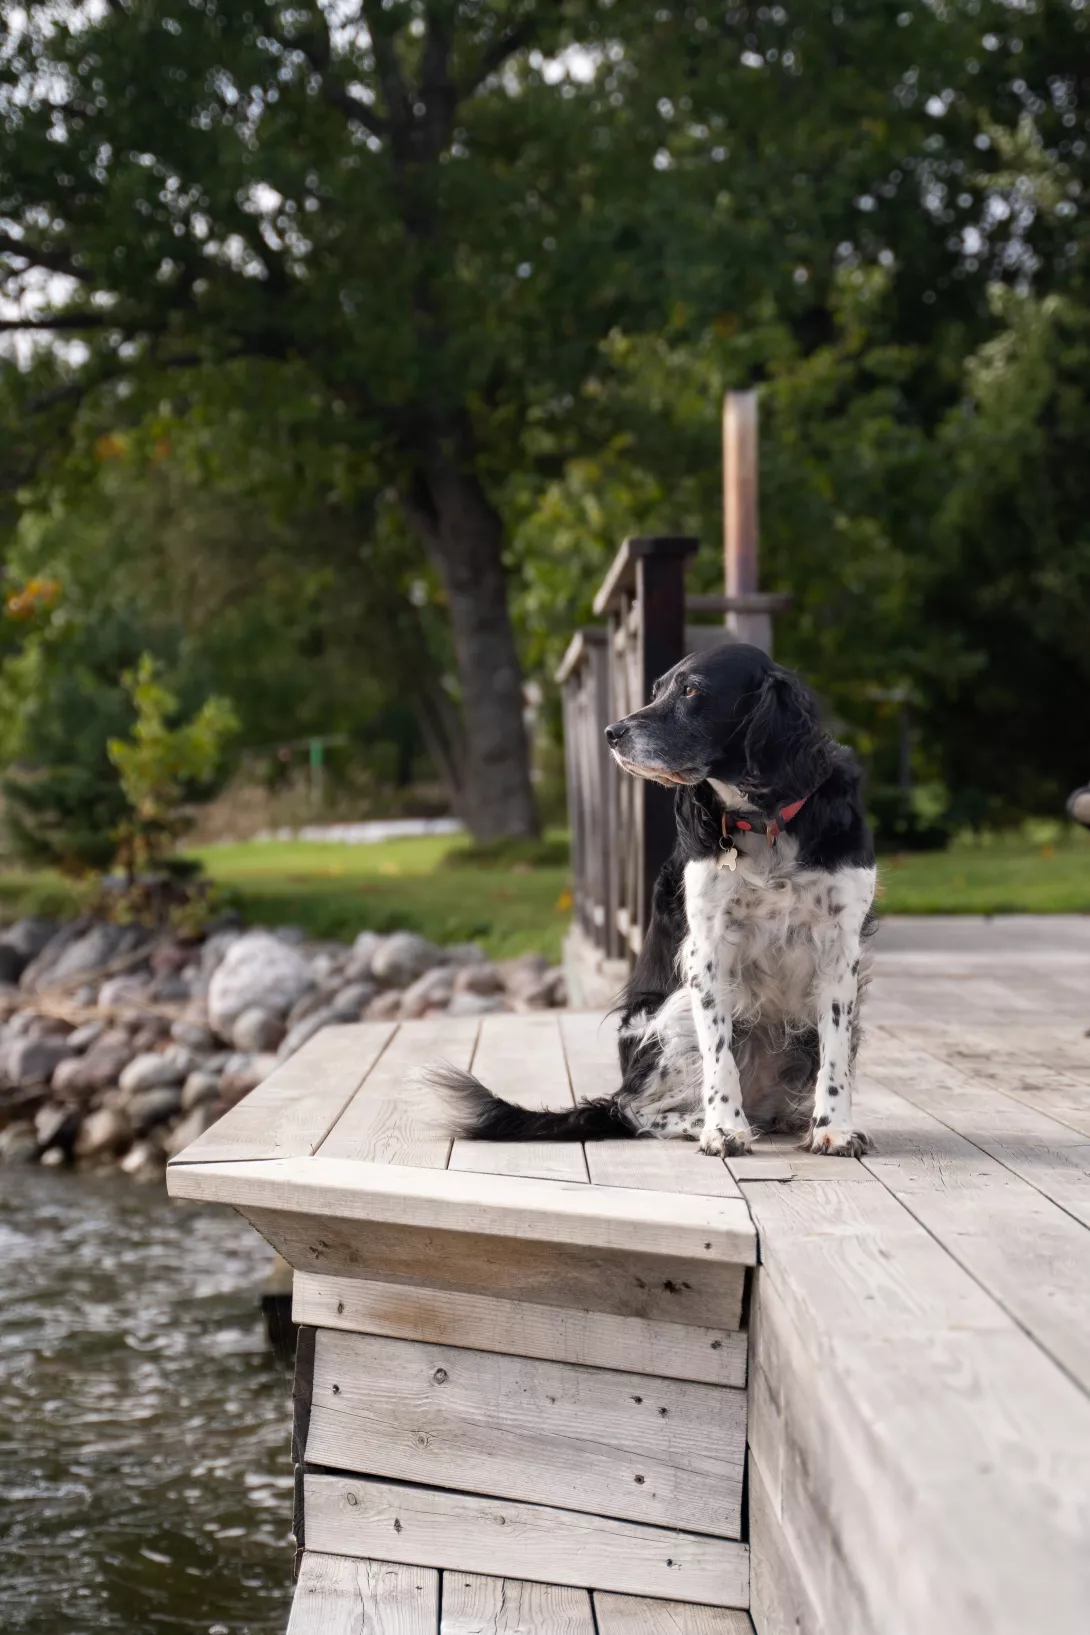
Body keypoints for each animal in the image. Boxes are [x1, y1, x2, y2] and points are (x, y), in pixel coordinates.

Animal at [437, 644, 875, 1157]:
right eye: (658, 689)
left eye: (691, 690)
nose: (612, 732)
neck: (766, 822)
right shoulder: (708, 950)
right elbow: (720, 1058)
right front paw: (723, 1129)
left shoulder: (840, 950)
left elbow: (835, 1055)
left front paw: (834, 1128)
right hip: (673, 1012)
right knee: (635, 1111)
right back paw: (699, 1122)